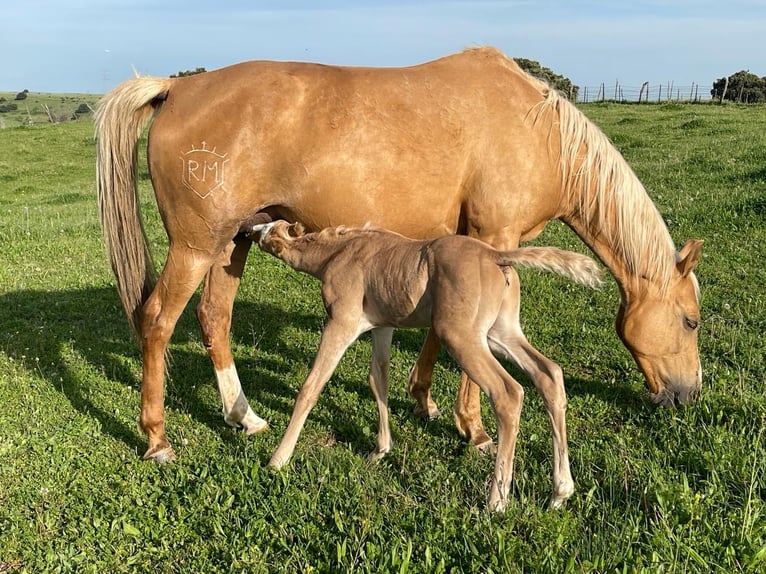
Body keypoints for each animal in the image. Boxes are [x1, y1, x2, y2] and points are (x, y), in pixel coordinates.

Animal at [249, 220, 604, 512]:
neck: (335, 254)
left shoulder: (342, 322)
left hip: (460, 334)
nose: (250, 229)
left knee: (509, 392)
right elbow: (378, 379)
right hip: (501, 332)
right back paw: (560, 492)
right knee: (549, 373)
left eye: (272, 227)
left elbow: (312, 385)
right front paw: (380, 450)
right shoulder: (382, 326)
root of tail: (496, 257)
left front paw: (277, 460)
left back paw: (497, 502)